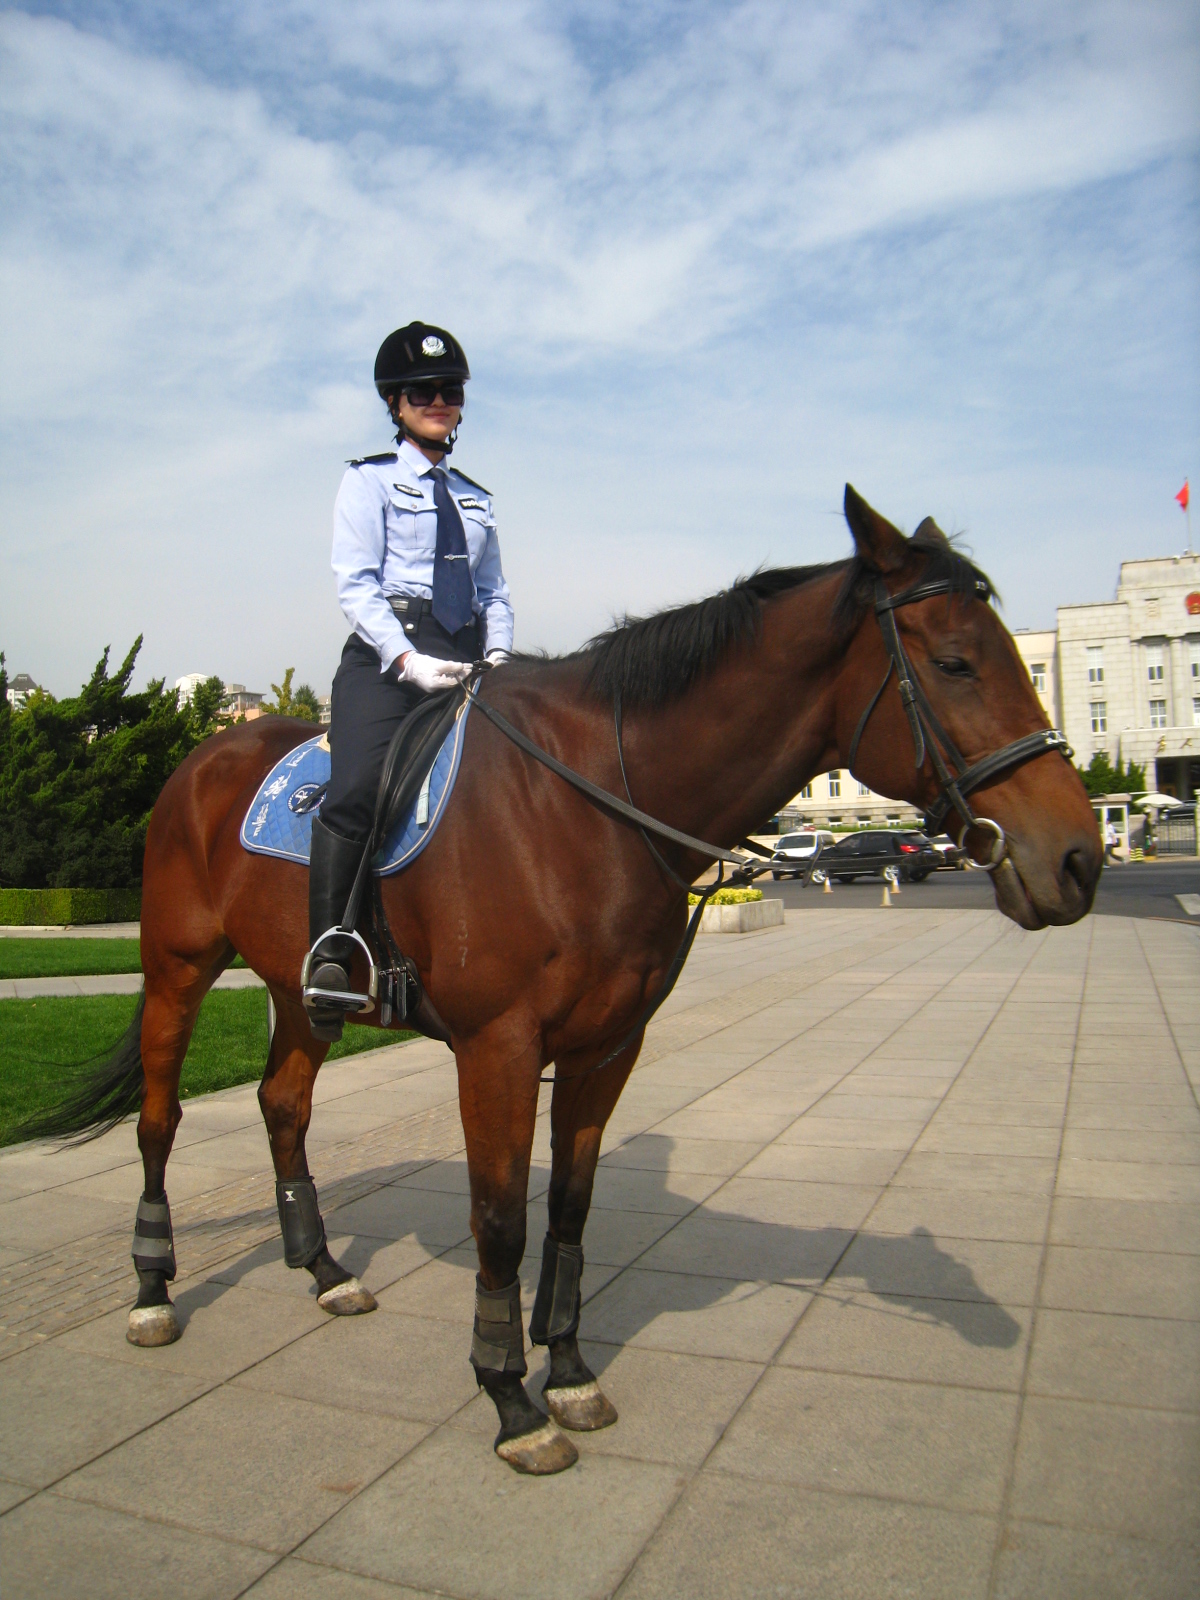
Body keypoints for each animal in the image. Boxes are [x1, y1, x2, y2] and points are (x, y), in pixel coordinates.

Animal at [47, 483, 1100, 1472]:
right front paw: (511, 1399)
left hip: (303, 989)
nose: (1079, 859)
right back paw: (152, 1289)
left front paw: (570, 1371)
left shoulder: (605, 1049)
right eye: (955, 662)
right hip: (177, 969)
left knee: (281, 1104)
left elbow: (569, 1209)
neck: (591, 801)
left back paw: (323, 1270)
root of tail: (208, 752)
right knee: (158, 1119)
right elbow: (500, 1220)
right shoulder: (498, 1050)